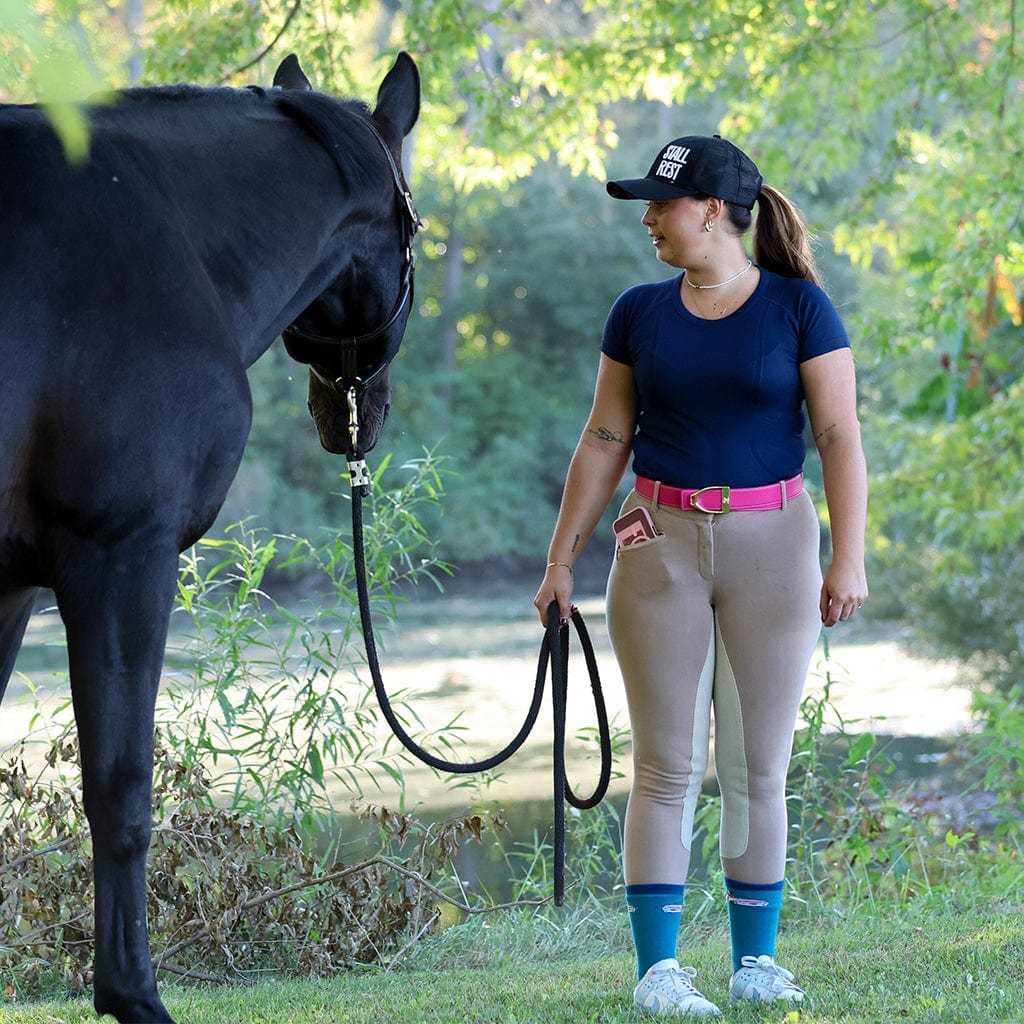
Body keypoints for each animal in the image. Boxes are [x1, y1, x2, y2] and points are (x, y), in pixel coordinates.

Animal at [0, 50, 420, 1023]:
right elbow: (120, 788)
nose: (355, 419)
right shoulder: (123, 557)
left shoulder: (4, 588)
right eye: (416, 234)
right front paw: (131, 992)